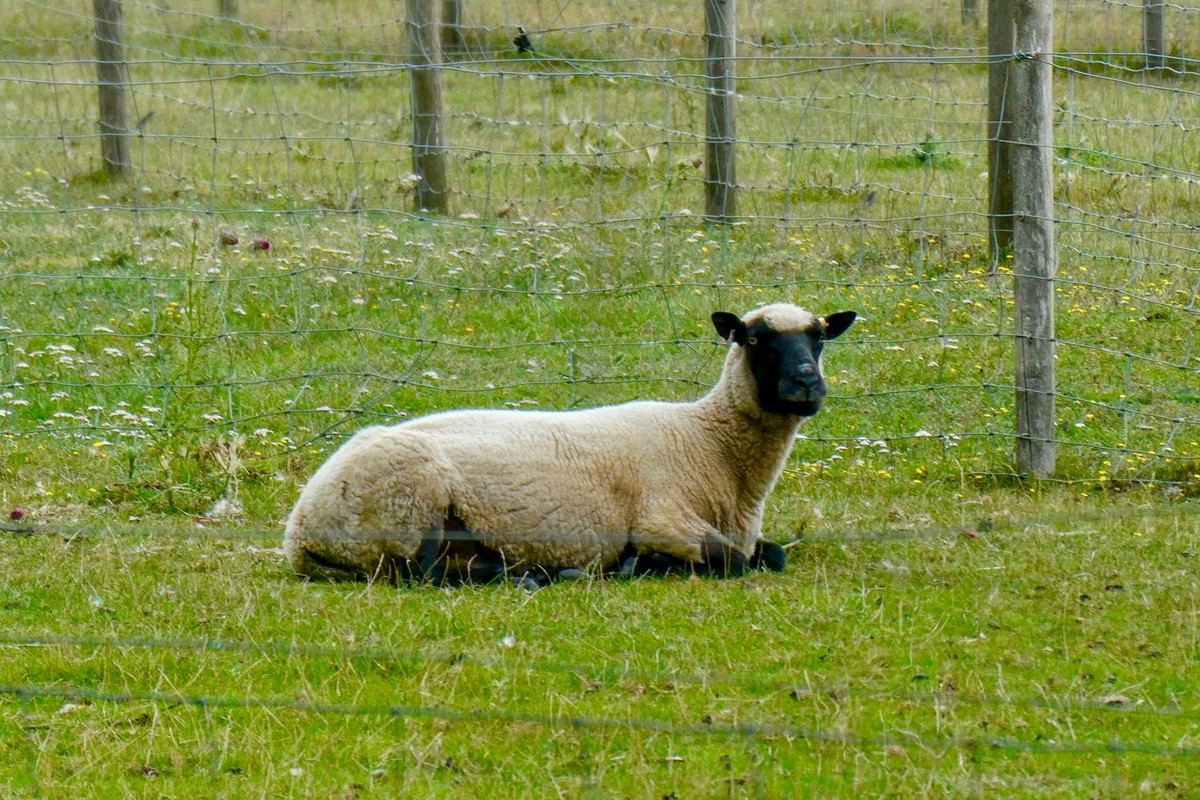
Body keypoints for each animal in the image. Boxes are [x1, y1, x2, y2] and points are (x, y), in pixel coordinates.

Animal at [283, 302, 856, 586]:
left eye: (819, 338)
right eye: (755, 340)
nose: (806, 383)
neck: (706, 441)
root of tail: (299, 532)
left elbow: (772, 554)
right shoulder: (663, 519)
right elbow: (734, 562)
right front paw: (640, 564)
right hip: (408, 506)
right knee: (420, 574)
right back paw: (541, 575)